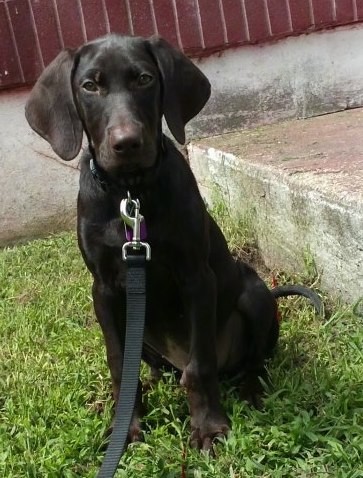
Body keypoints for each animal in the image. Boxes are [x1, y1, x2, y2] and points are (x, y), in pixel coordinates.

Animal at [24, 34, 322, 452]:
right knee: (153, 368)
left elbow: (200, 366)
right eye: (90, 86)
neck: (131, 193)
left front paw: (210, 426)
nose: (127, 143)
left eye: (144, 79)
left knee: (250, 362)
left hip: (254, 293)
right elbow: (120, 364)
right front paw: (126, 426)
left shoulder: (195, 277)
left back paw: (251, 391)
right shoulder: (104, 290)